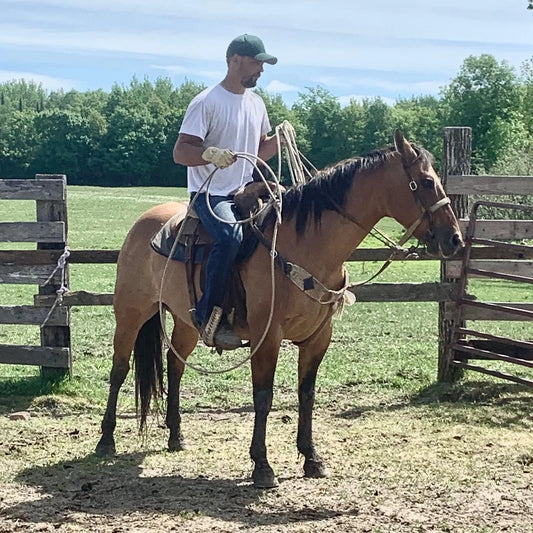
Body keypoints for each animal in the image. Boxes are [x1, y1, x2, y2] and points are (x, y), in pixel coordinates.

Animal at [94, 130, 462, 486]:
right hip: (130, 313)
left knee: (175, 365)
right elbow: (263, 396)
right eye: (425, 182)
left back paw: (176, 435)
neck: (307, 247)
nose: (455, 240)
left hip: (186, 321)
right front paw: (262, 465)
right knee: (119, 370)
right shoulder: (266, 335)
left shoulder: (319, 337)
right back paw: (105, 441)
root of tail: (144, 224)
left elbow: (306, 394)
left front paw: (312, 458)